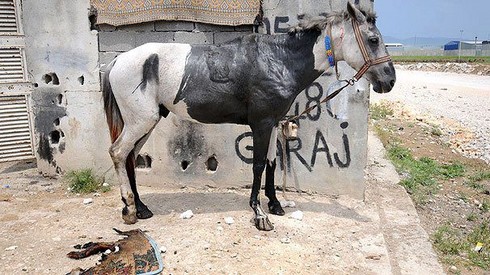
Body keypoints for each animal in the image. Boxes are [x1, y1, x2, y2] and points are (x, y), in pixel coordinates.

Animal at [102, 2, 394, 232]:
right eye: (373, 40)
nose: (389, 80)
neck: (279, 61)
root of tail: (117, 62)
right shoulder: (261, 125)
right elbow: (258, 165)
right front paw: (259, 213)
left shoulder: (274, 123)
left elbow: (273, 163)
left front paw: (274, 204)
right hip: (141, 122)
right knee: (118, 152)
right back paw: (130, 210)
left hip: (145, 123)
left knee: (130, 157)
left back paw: (141, 208)